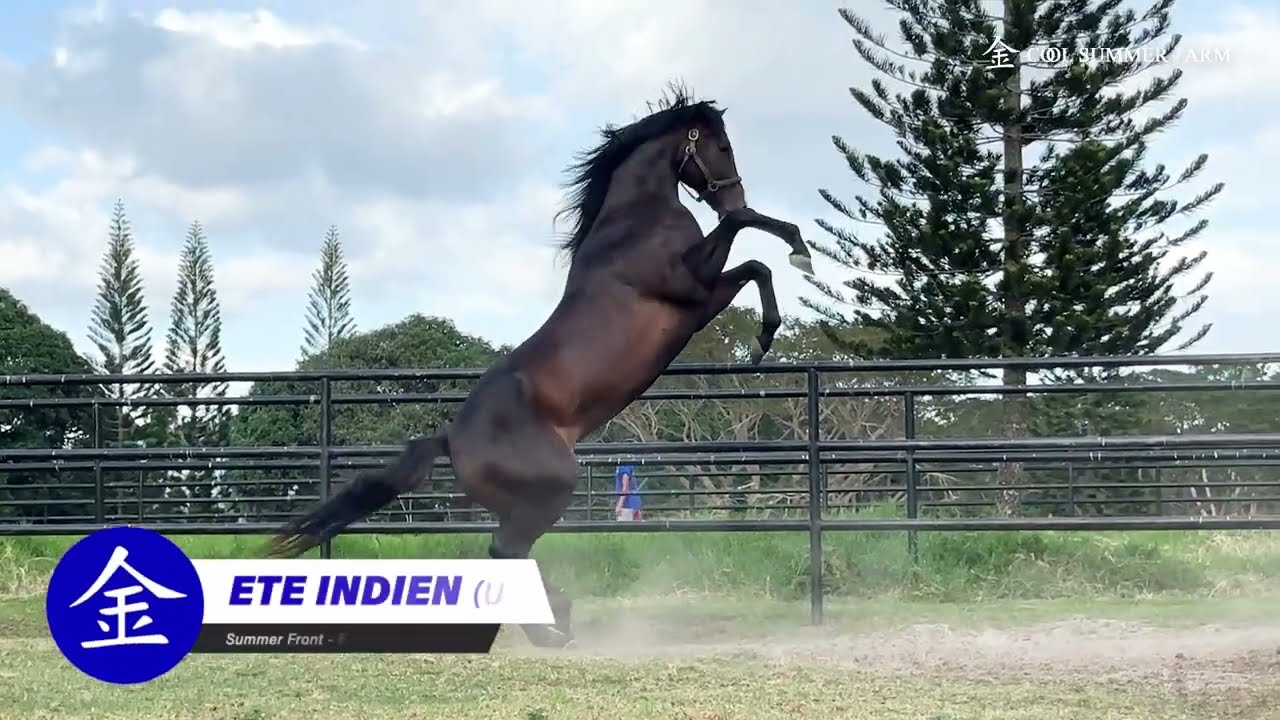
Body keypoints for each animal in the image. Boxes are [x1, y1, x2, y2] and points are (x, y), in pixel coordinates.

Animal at [267, 85, 814, 649]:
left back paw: (559, 620)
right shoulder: (691, 288)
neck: (633, 224)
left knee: (507, 552)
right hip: (552, 489)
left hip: (525, 503)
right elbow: (749, 246)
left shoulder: (702, 295)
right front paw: (780, 301)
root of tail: (451, 439)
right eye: (721, 146)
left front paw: (786, 276)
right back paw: (553, 630)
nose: (733, 194)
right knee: (505, 551)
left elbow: (754, 258)